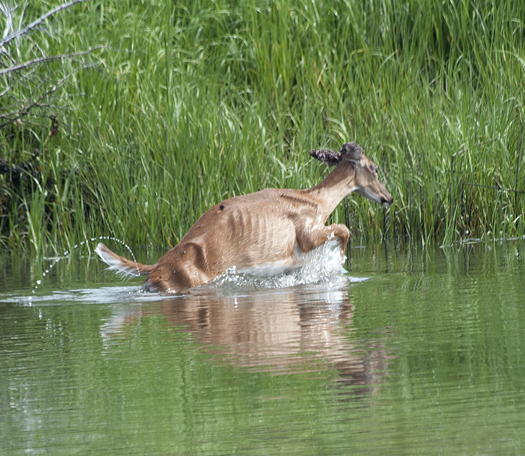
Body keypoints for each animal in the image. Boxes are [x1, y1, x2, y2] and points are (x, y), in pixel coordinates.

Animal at [96, 141, 392, 294]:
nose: (388, 198)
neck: (317, 200)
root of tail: (155, 267)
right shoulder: (306, 232)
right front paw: (339, 259)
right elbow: (344, 229)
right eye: (375, 168)